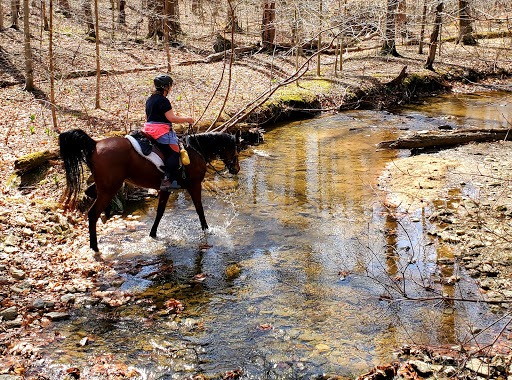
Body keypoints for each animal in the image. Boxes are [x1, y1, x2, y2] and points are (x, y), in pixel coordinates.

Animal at [60, 128, 242, 252]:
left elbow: (160, 212)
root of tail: (95, 143)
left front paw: (153, 234)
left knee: (89, 192)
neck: (195, 150)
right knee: (92, 213)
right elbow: (199, 209)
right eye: (235, 150)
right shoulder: (195, 185)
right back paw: (95, 247)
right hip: (110, 187)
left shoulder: (166, 189)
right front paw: (207, 230)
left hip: (105, 185)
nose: (237, 169)